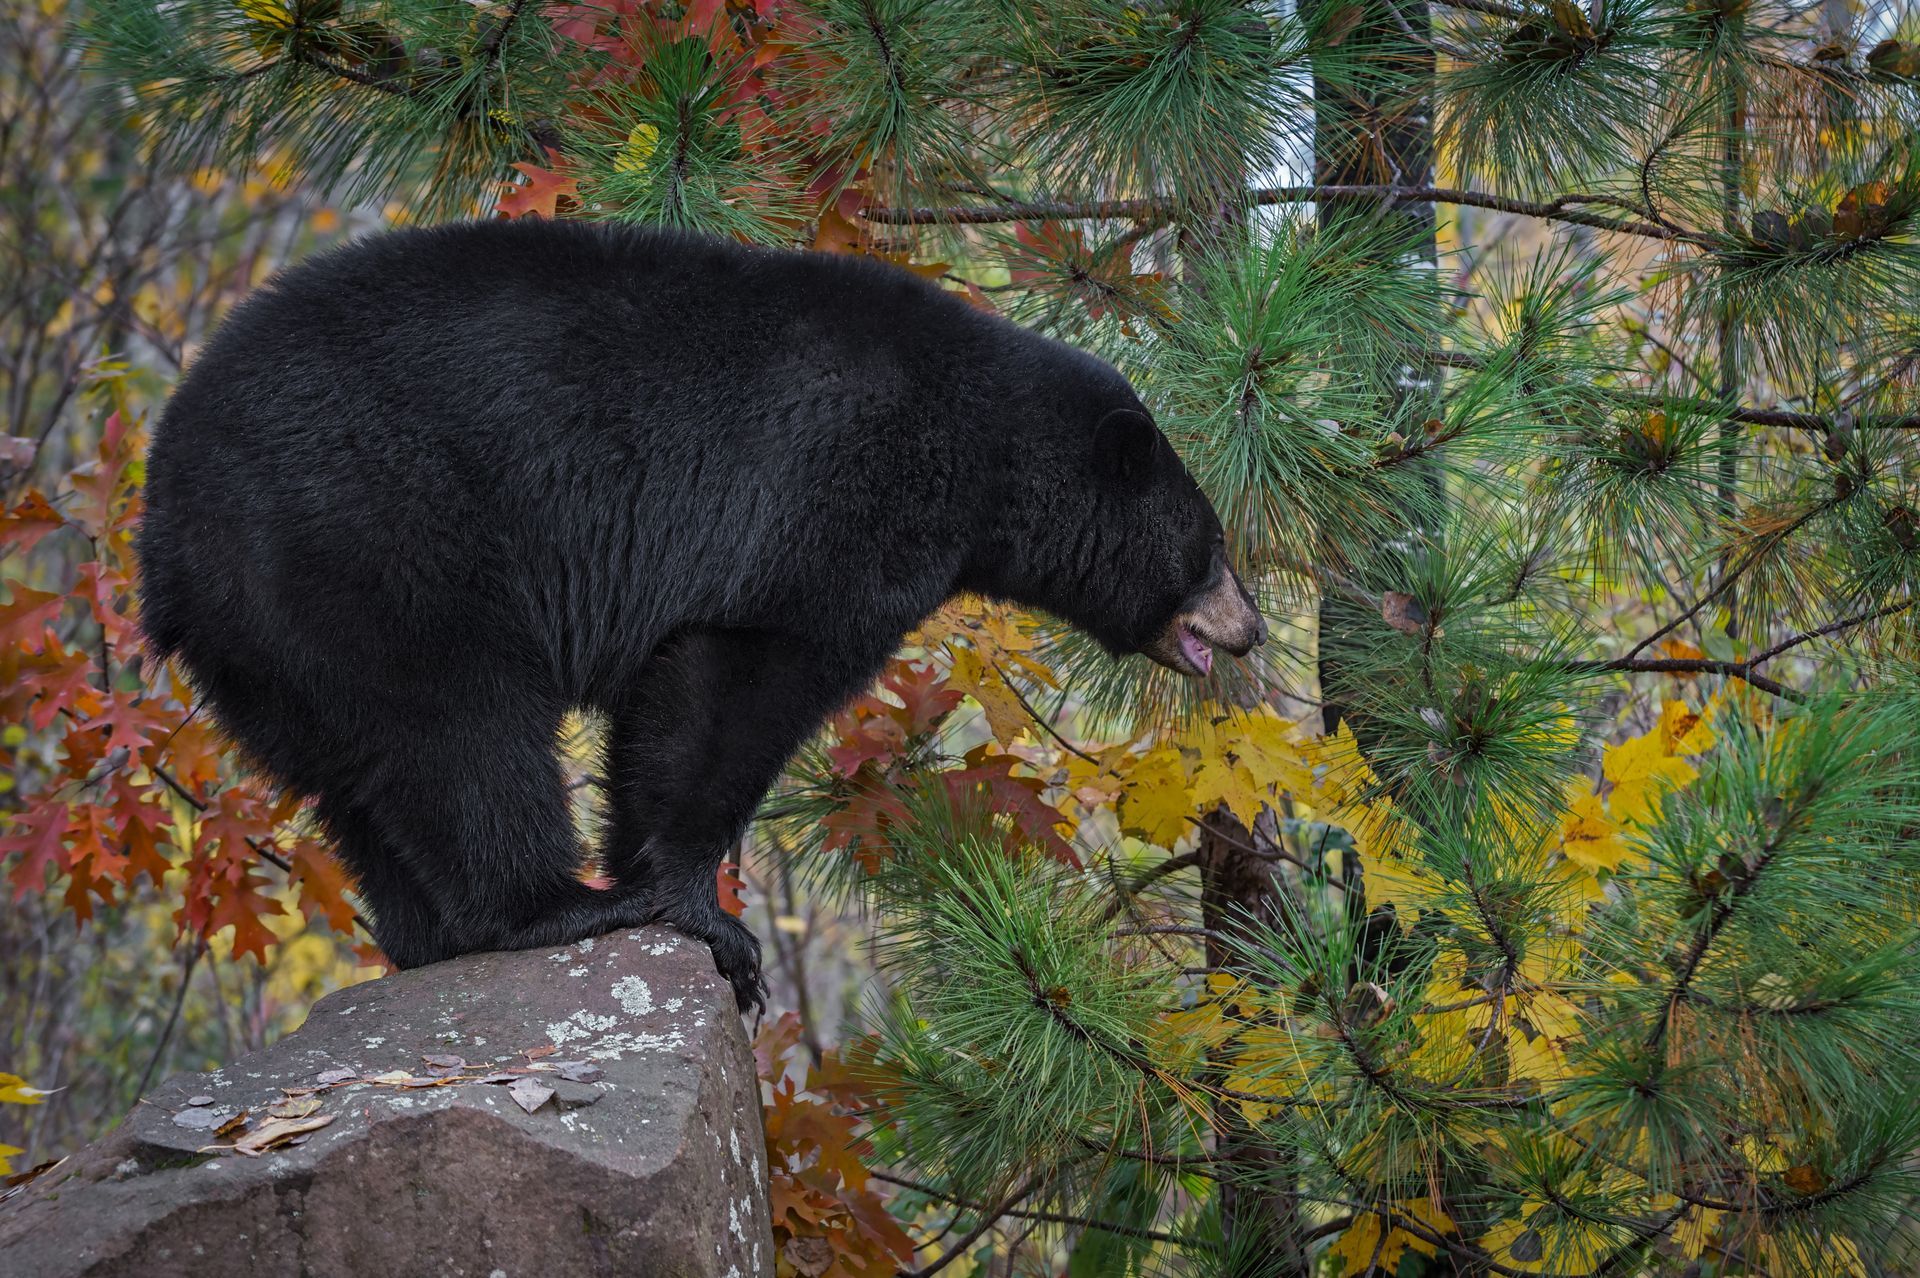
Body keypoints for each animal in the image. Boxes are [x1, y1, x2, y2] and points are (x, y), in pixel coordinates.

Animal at [142, 223, 1267, 1013]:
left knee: (364, 783)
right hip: (372, 546)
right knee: (462, 734)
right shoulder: (835, 499)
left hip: (276, 645)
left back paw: (427, 937)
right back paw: (558, 907)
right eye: (1214, 548)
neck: (982, 446)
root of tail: (162, 526)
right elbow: (731, 688)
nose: (1251, 626)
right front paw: (704, 919)